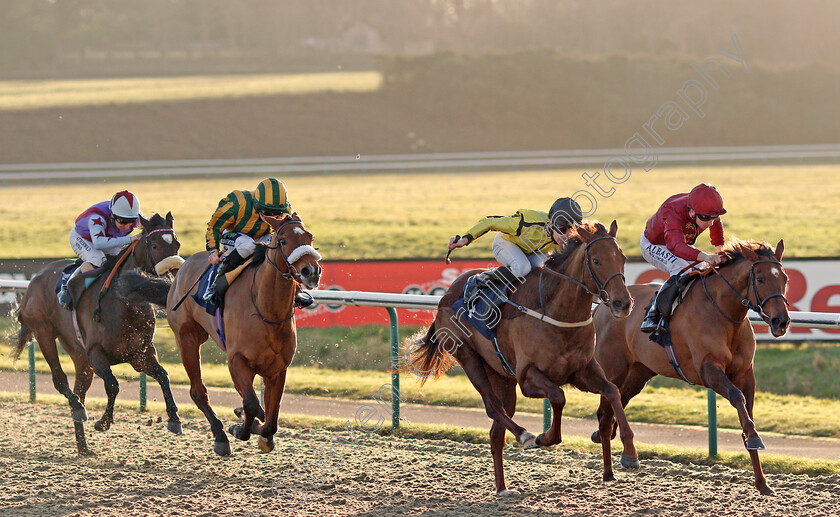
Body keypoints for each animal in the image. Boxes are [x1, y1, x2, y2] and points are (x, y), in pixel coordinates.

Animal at [13, 212, 185, 454]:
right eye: (154, 244)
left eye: (176, 244)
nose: (173, 275)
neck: (124, 306)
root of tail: (33, 282)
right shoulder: (96, 353)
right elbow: (113, 385)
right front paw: (103, 422)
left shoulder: (140, 353)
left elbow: (163, 375)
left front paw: (174, 419)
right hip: (44, 333)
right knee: (60, 381)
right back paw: (79, 409)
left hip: (80, 357)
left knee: (79, 389)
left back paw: (83, 447)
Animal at [121, 212, 322, 454]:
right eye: (283, 240)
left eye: (310, 237)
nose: (311, 271)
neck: (266, 309)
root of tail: (182, 269)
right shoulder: (237, 360)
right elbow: (251, 404)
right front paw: (239, 428)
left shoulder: (277, 367)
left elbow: (271, 418)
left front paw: (260, 430)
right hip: (187, 339)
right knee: (198, 391)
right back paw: (220, 435)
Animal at [406, 220, 636, 494]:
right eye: (597, 261)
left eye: (622, 258)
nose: (623, 303)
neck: (558, 310)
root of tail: (447, 295)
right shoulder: (528, 377)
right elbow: (558, 397)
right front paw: (544, 437)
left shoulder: (582, 371)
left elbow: (612, 391)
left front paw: (630, 452)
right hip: (469, 357)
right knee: (493, 407)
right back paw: (524, 436)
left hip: (501, 376)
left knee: (496, 432)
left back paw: (502, 488)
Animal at [592, 237, 788, 492]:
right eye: (761, 279)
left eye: (785, 279)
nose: (781, 321)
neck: (723, 313)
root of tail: (603, 305)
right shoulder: (708, 370)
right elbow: (737, 398)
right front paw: (754, 437)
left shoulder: (746, 373)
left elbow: (748, 413)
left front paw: (762, 482)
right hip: (613, 369)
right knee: (606, 414)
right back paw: (618, 462)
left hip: (637, 374)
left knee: (613, 410)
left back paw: (610, 465)